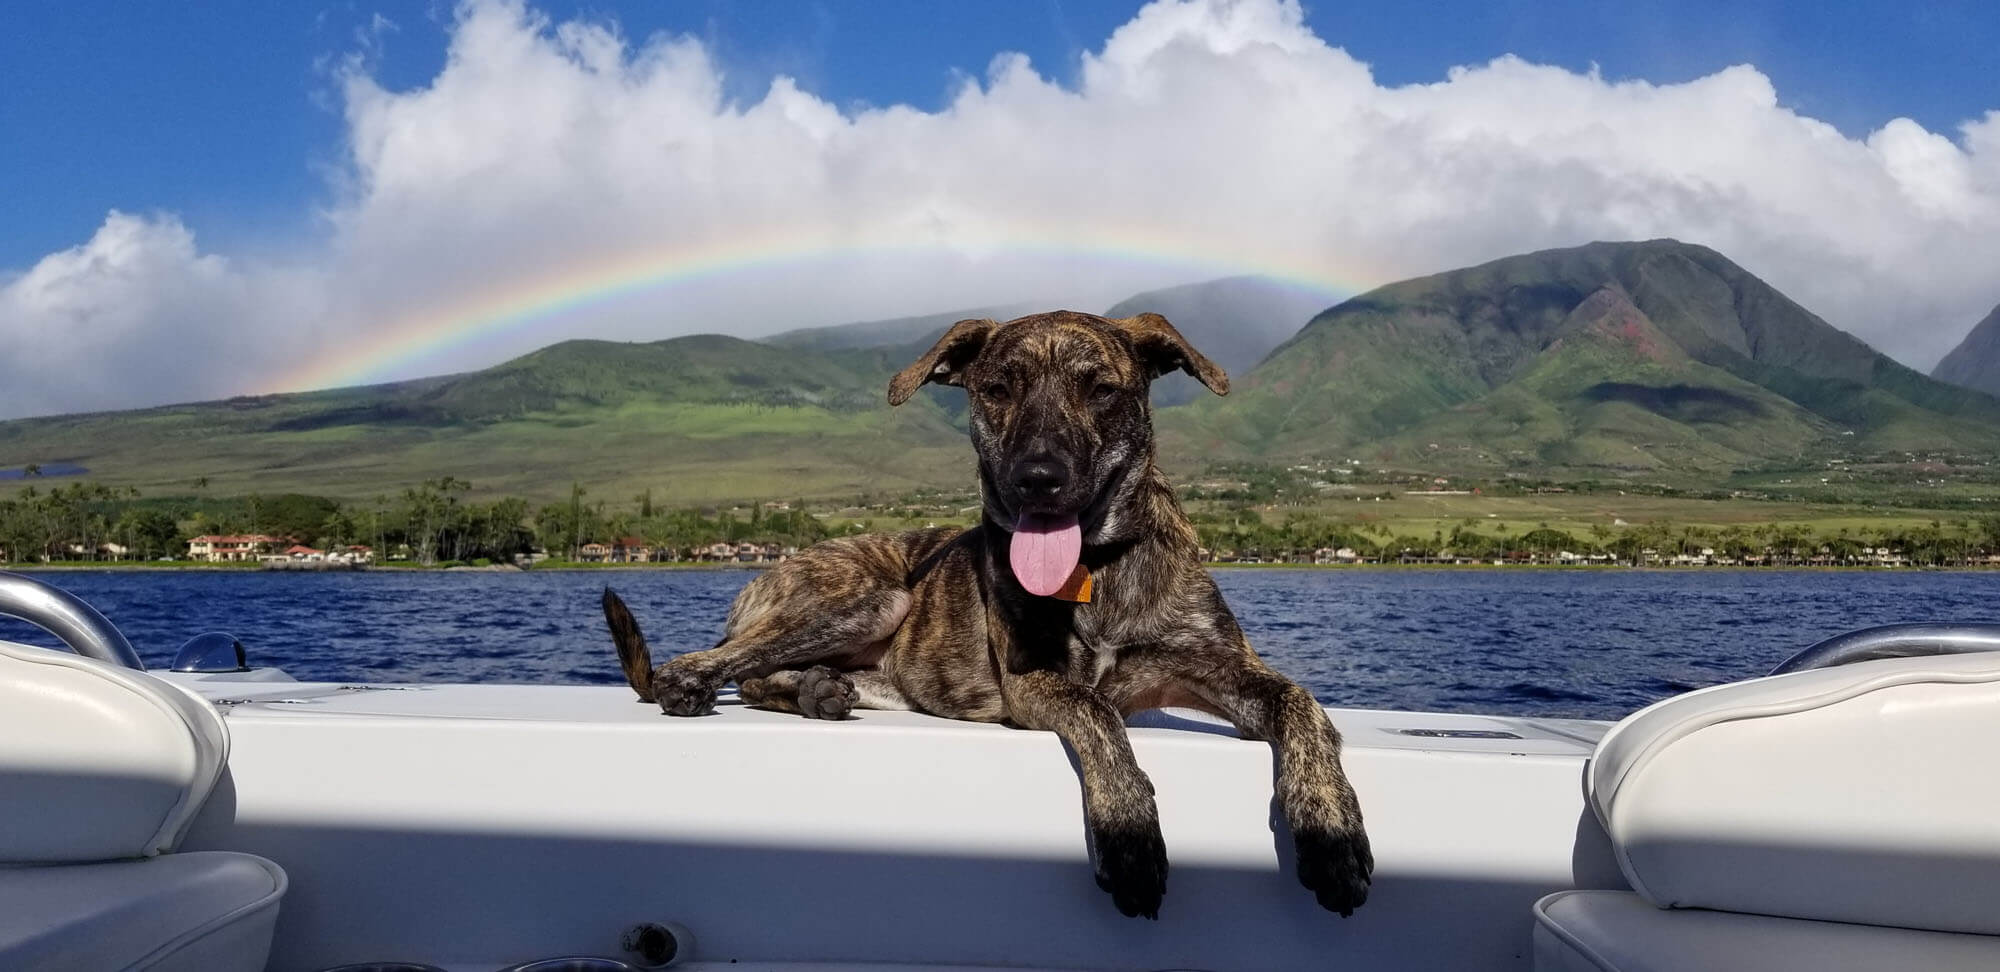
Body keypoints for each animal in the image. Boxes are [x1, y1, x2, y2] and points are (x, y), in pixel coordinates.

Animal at [600, 310, 1368, 920]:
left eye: (1101, 389)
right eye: (998, 390)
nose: (1038, 478)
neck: (1099, 567)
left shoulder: (1222, 667)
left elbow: (1305, 708)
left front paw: (1332, 836)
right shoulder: (1036, 682)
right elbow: (1100, 715)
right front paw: (1129, 838)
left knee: (766, 676)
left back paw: (818, 689)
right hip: (878, 597)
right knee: (703, 666)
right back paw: (722, 686)